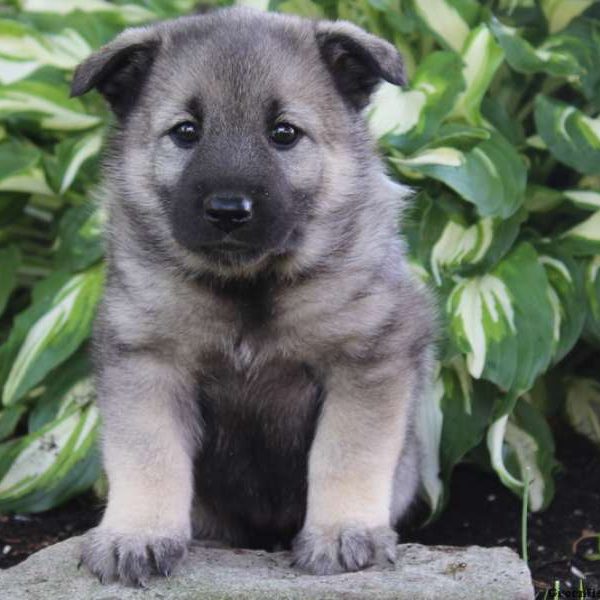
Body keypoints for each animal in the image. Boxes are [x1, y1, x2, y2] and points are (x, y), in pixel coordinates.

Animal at [71, 4, 436, 584]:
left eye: (284, 133)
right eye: (186, 131)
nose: (227, 209)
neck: (249, 288)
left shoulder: (367, 359)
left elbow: (346, 452)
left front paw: (341, 532)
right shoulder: (146, 360)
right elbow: (147, 453)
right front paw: (137, 534)